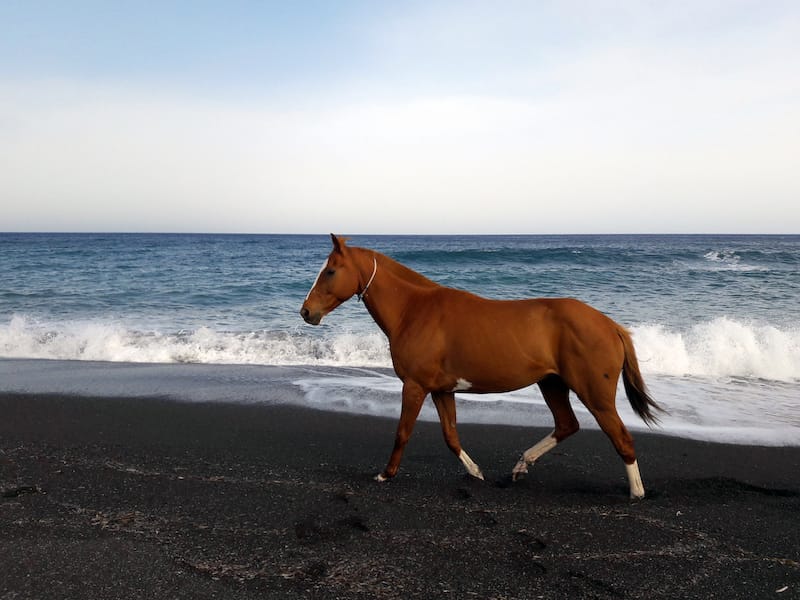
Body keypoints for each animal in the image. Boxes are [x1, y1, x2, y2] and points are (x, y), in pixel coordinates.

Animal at [300, 233, 664, 496]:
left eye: (330, 271)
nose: (306, 312)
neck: (415, 311)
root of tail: (611, 325)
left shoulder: (415, 386)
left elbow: (403, 432)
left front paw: (385, 474)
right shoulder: (441, 390)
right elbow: (450, 435)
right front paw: (475, 472)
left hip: (594, 393)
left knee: (620, 437)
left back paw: (636, 492)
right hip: (551, 383)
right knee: (566, 424)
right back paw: (521, 465)